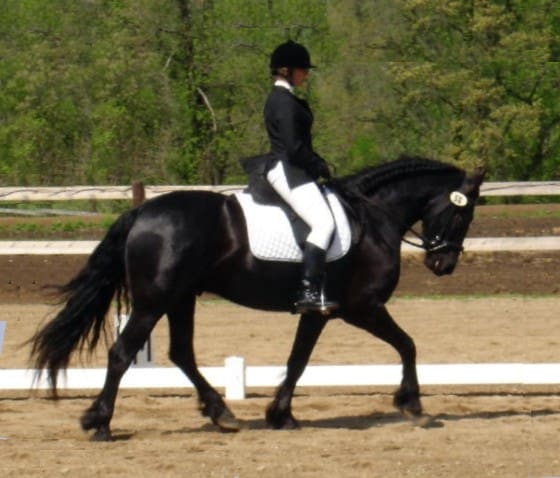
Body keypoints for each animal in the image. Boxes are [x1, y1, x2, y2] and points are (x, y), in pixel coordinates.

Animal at [30, 155, 484, 438]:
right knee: (123, 353)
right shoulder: (363, 307)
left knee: (181, 353)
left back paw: (222, 413)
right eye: (463, 212)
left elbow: (298, 360)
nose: (443, 264)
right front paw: (412, 405)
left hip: (180, 298)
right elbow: (407, 344)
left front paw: (280, 415)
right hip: (153, 302)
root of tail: (142, 211)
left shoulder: (319, 311)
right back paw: (100, 423)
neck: (374, 217)